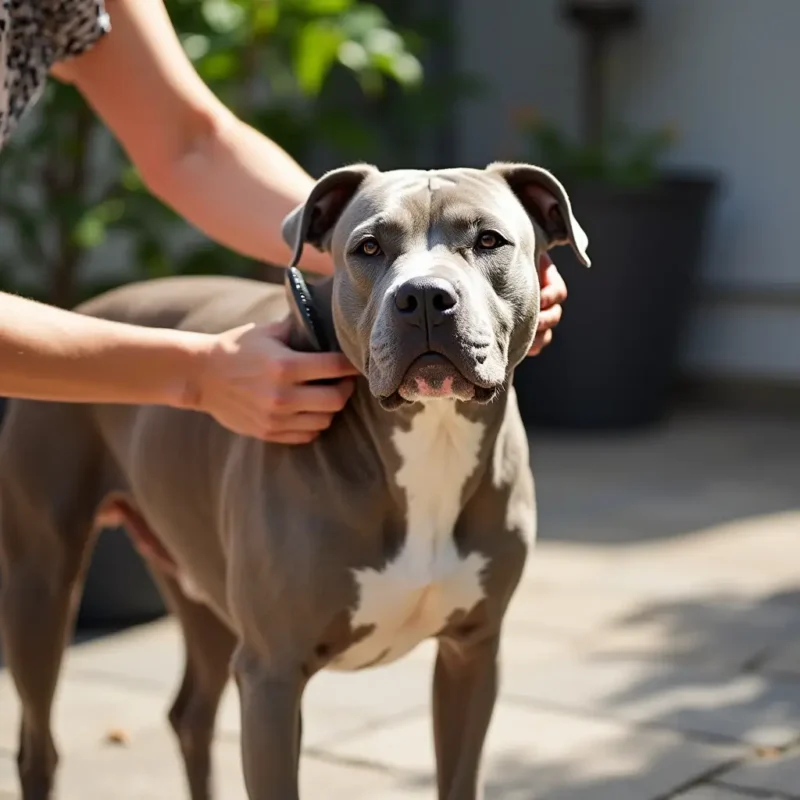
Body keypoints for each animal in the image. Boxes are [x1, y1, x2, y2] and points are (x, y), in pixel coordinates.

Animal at [0, 159, 588, 796]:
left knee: (190, 714)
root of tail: (85, 308)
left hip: (194, 577)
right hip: (40, 583)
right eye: (368, 247)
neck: (431, 436)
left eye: (488, 241)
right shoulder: (272, 676)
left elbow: (460, 775)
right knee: (39, 745)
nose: (425, 297)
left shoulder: (472, 653)